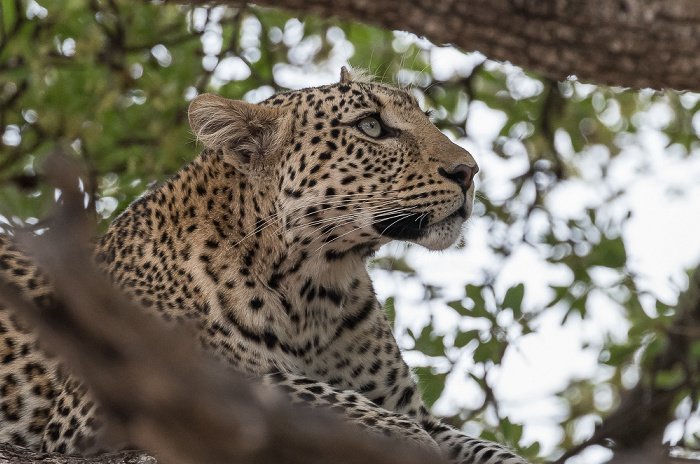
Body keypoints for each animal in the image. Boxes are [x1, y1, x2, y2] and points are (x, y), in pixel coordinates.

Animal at [0, 69, 528, 464]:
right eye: (371, 126)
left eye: (427, 118)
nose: (469, 171)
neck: (314, 288)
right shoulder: (99, 406)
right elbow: (281, 388)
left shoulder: (417, 410)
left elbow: (492, 451)